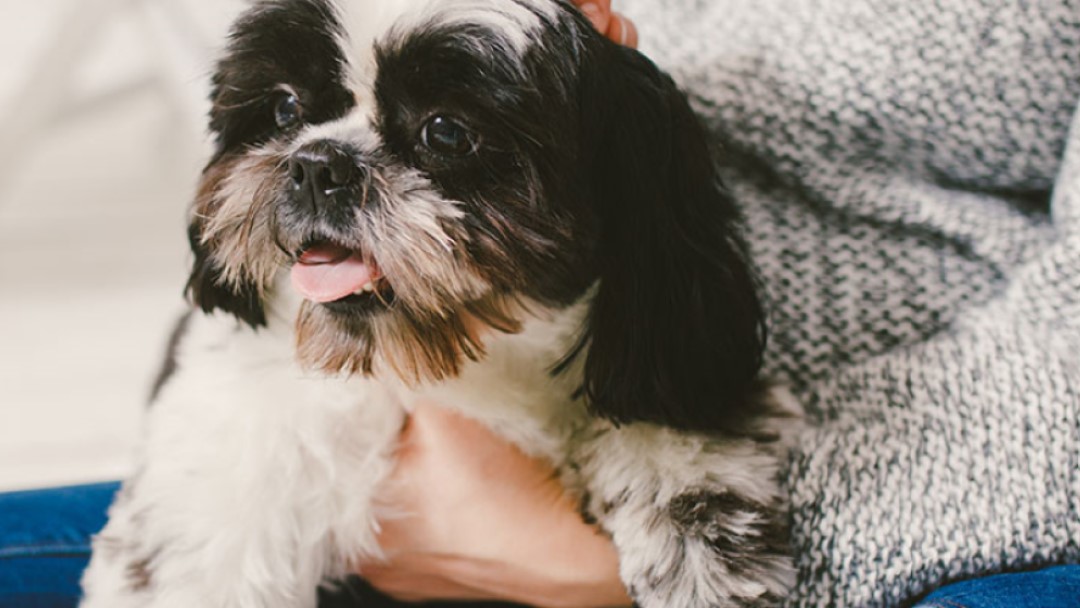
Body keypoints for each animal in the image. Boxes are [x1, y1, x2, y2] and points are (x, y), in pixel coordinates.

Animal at [79, 1, 799, 608]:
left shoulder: (668, 348)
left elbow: (674, 437)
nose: (317, 162)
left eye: (447, 132)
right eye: (284, 109)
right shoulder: (224, 473)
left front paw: (696, 549)